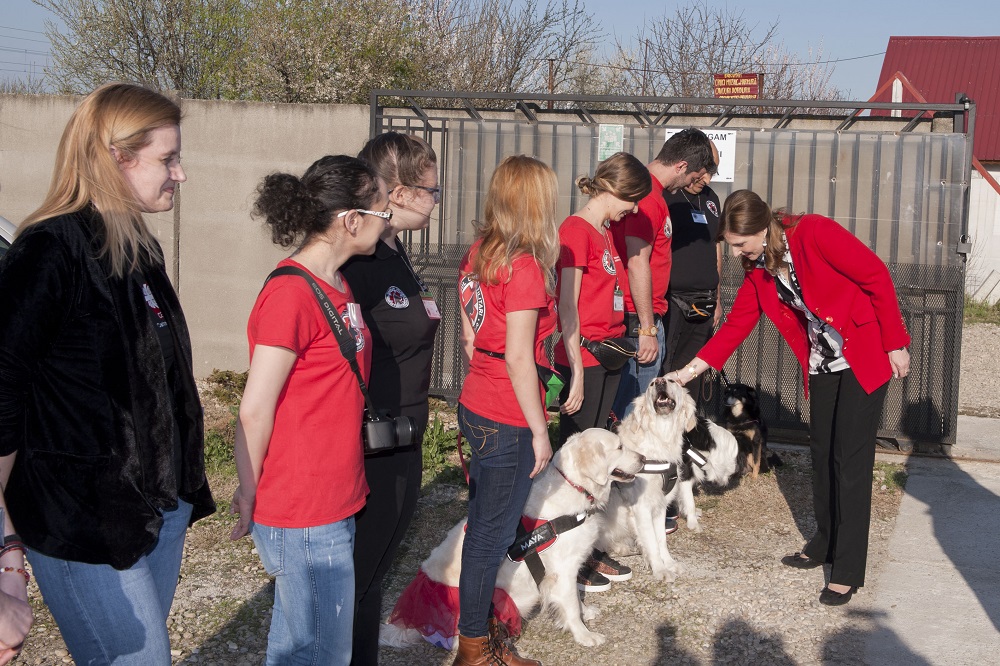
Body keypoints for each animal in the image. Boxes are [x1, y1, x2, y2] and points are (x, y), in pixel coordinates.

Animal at [378, 428, 644, 644]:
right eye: (619, 446)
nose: (643, 459)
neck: (574, 486)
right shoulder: (563, 569)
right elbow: (570, 603)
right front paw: (584, 635)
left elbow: (575, 599)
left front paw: (585, 612)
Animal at [596, 376, 740, 580]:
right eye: (651, 384)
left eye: (672, 380)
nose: (659, 381)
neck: (660, 440)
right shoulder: (642, 507)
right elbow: (652, 541)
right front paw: (660, 569)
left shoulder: (660, 504)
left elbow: (661, 540)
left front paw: (669, 564)